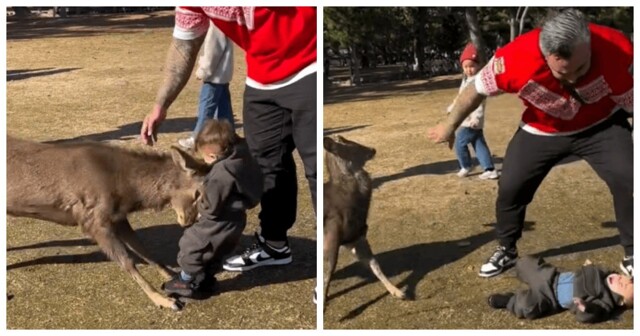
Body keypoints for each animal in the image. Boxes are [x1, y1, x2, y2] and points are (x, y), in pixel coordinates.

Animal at [5, 135, 210, 312]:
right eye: (197, 194)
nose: (188, 221)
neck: (127, 191)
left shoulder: (118, 217)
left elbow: (143, 250)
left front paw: (171, 275)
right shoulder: (93, 219)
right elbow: (127, 261)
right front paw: (164, 300)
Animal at [322, 135, 408, 310]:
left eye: (345, 139)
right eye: (348, 144)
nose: (373, 149)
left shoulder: (356, 237)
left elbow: (375, 265)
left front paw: (398, 292)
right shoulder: (333, 234)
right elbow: (329, 271)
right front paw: (323, 303)